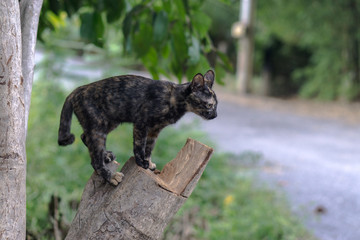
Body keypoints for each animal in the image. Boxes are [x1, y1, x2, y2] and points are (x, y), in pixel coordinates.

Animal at [57, 69, 218, 186]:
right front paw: (141, 162)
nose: (215, 115)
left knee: (85, 137)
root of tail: (76, 90)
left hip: (109, 123)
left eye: (216, 105)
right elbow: (140, 145)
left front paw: (149, 162)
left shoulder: (155, 130)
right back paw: (112, 176)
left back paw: (106, 155)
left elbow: (150, 147)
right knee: (94, 159)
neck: (174, 99)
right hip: (99, 127)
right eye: (210, 105)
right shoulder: (141, 123)